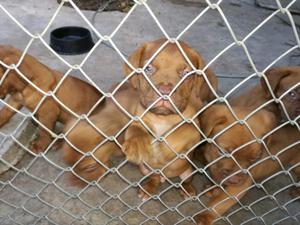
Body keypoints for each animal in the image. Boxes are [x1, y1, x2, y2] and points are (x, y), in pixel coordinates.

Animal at [120, 39, 217, 200]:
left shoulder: (194, 126)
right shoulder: (139, 117)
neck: (162, 117)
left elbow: (182, 131)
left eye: (186, 73)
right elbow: (134, 129)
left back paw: (187, 189)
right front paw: (137, 145)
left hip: (187, 170)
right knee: (154, 177)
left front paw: (165, 150)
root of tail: (164, 177)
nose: (165, 91)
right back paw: (149, 187)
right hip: (146, 169)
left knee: (187, 179)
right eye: (148, 68)